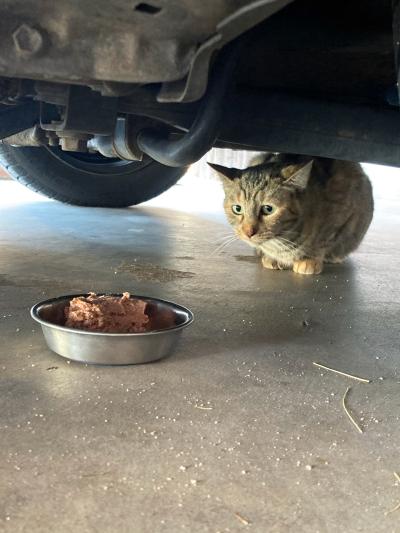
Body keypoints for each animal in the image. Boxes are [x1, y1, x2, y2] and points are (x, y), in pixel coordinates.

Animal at [208, 152, 374, 272]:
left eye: (268, 209)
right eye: (237, 209)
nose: (248, 232)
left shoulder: (342, 215)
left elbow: (324, 241)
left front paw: (310, 260)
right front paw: (270, 258)